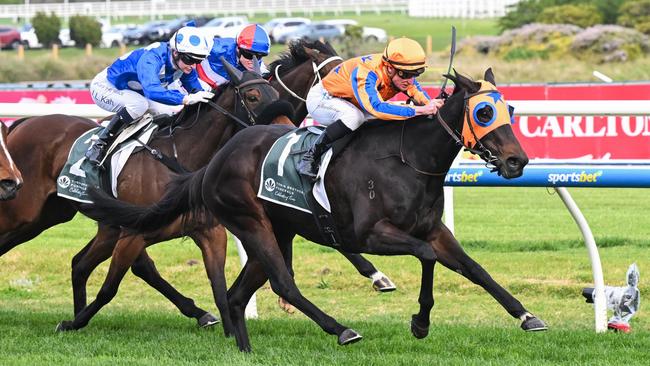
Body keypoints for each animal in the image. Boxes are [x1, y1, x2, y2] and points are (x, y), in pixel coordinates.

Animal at [0, 60, 290, 338]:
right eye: (252, 96)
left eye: (276, 93)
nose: (285, 131)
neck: (180, 160)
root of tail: (23, 123)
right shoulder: (133, 235)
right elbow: (109, 288)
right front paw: (72, 323)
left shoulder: (209, 233)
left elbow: (218, 286)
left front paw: (228, 331)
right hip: (23, 212)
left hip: (50, 216)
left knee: (77, 263)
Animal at [83, 68, 544, 352]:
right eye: (483, 111)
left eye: (511, 109)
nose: (517, 161)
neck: (407, 159)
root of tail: (214, 162)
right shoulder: (371, 234)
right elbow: (427, 257)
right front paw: (420, 322)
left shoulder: (433, 229)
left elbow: (474, 268)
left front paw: (526, 316)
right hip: (252, 223)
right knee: (283, 284)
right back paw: (341, 329)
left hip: (276, 230)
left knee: (237, 294)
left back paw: (245, 348)